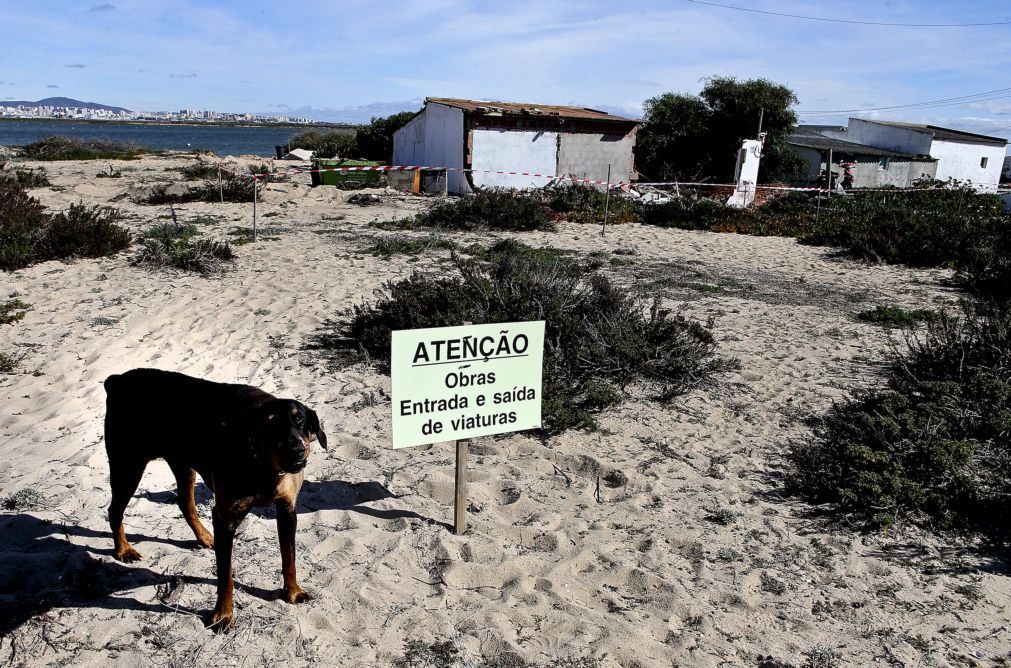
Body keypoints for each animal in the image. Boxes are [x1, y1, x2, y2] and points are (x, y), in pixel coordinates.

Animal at [101, 367, 327, 634]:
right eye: (269, 423)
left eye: (300, 418)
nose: (297, 450)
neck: (263, 467)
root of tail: (116, 380)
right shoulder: (225, 519)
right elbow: (225, 575)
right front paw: (223, 615)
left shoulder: (287, 509)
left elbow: (289, 556)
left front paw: (292, 592)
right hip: (128, 465)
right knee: (115, 509)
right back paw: (123, 549)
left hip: (182, 463)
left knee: (185, 504)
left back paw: (204, 537)